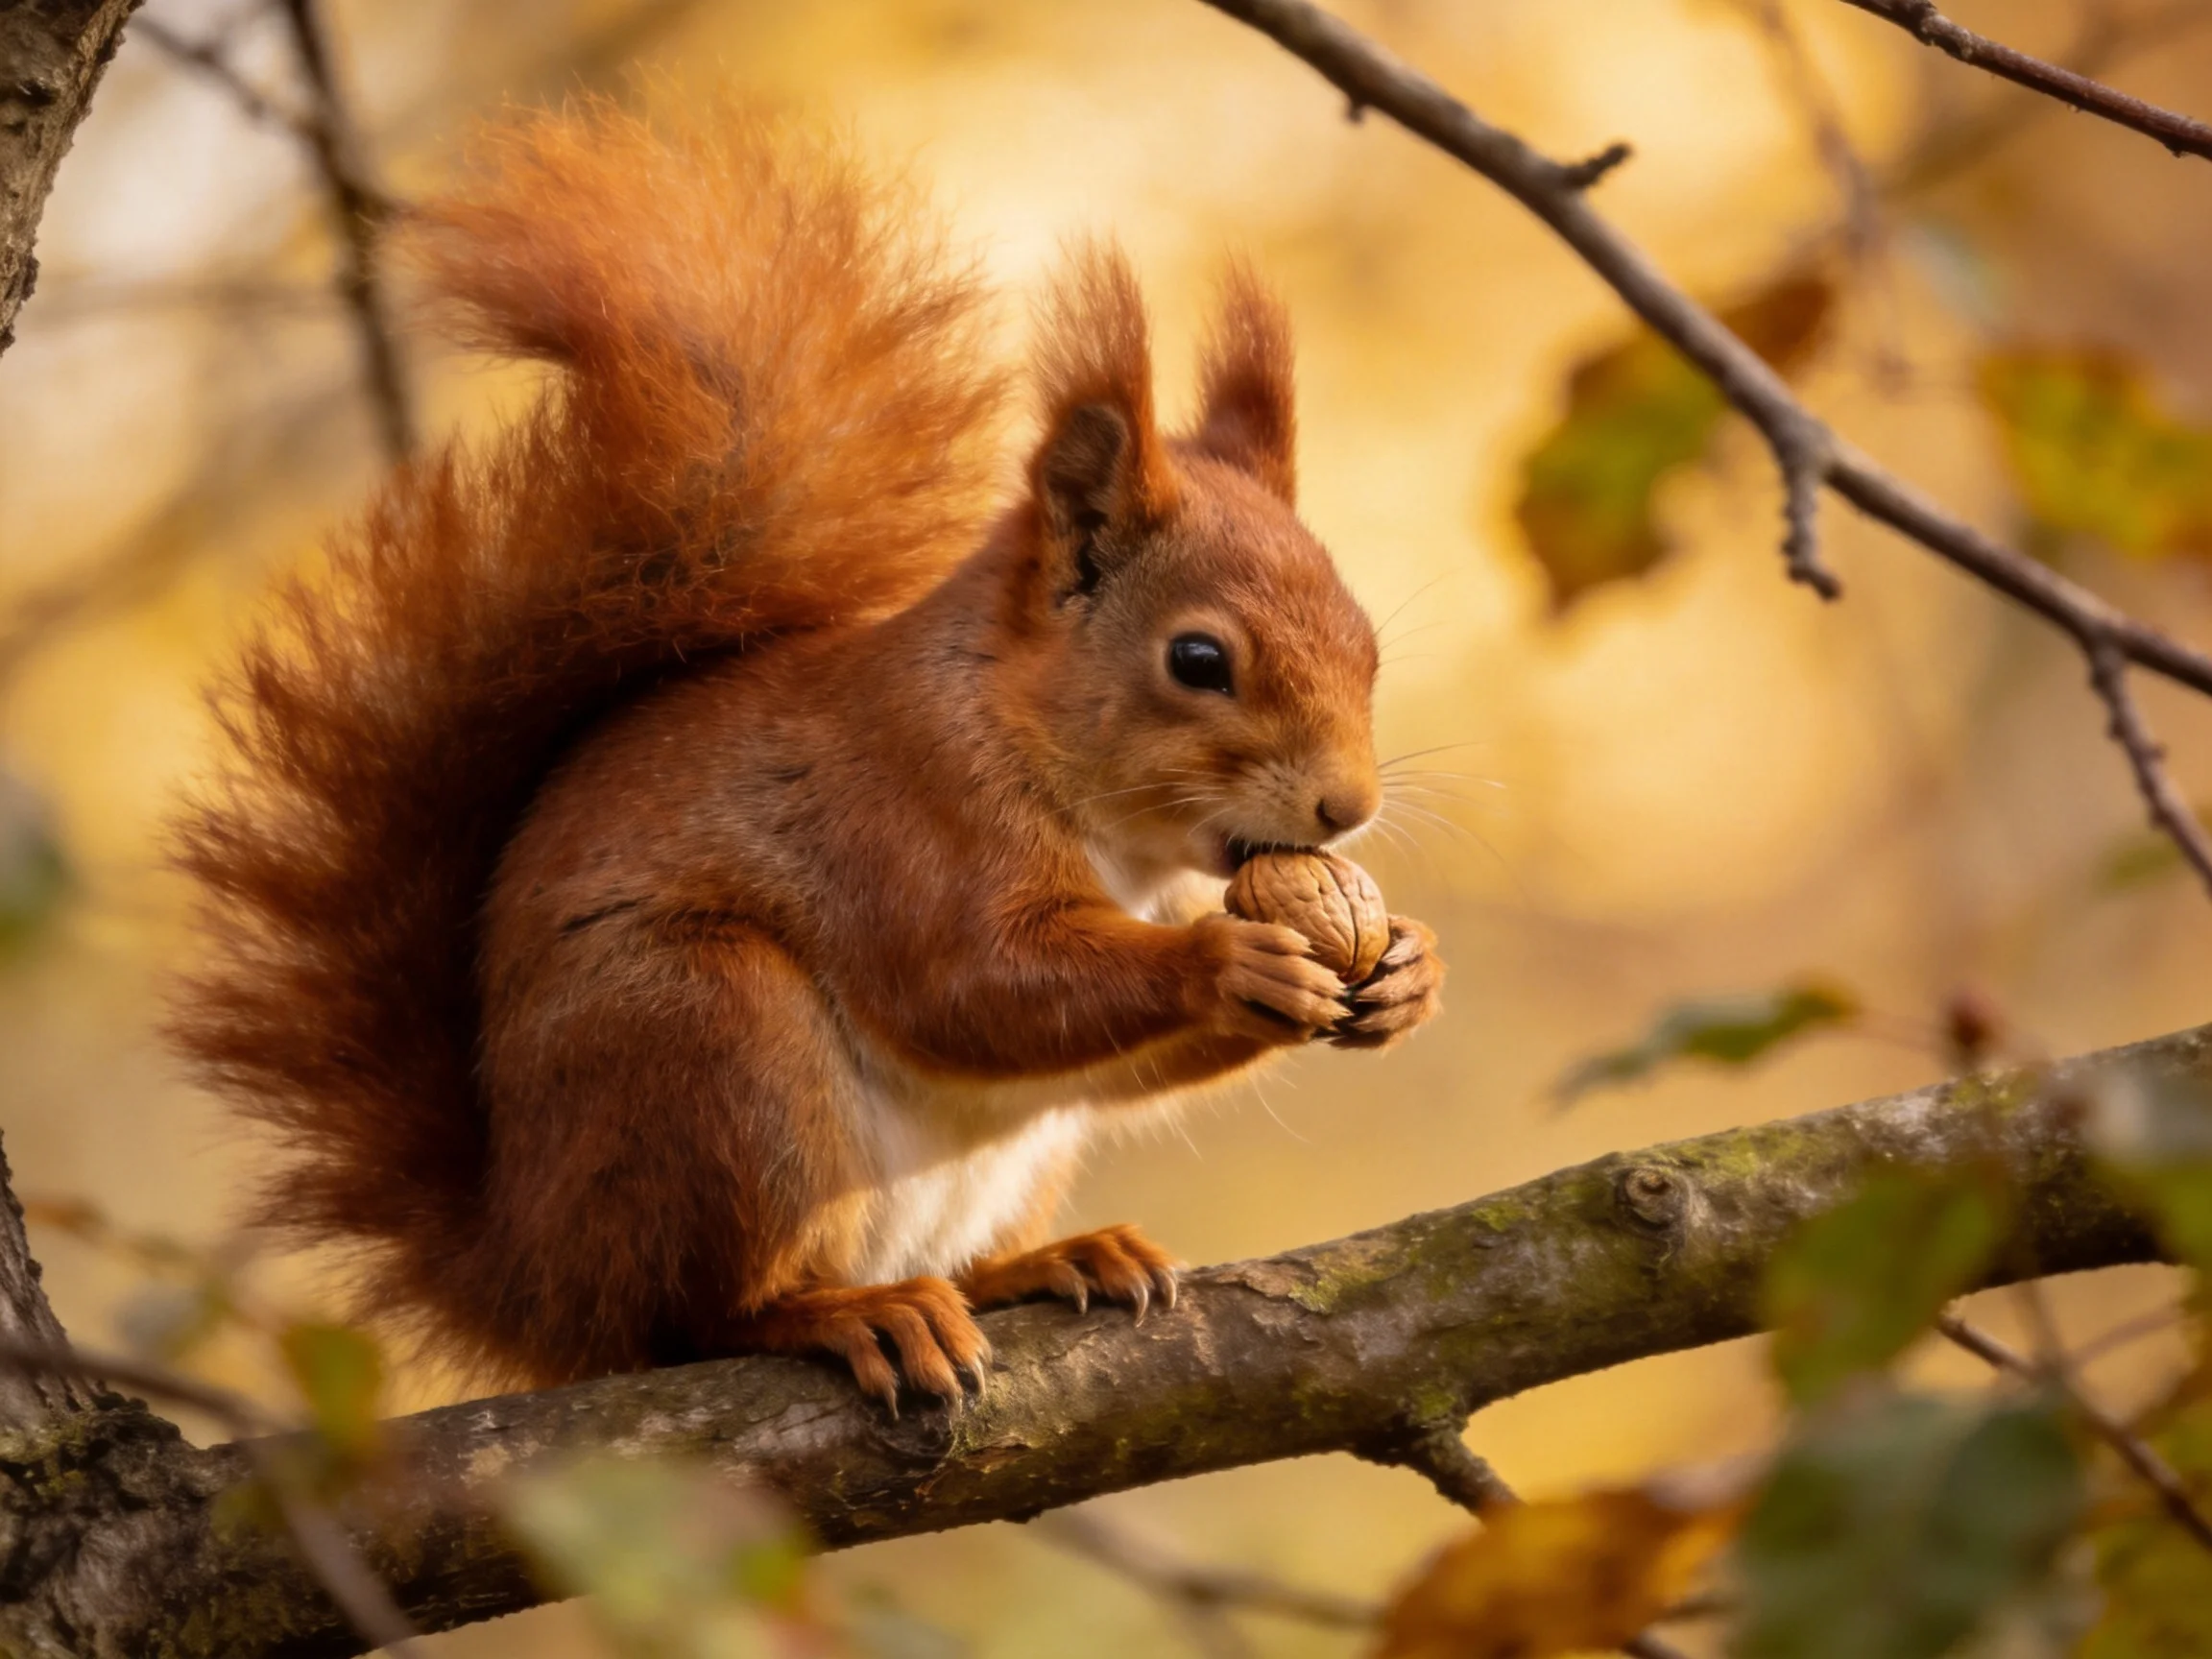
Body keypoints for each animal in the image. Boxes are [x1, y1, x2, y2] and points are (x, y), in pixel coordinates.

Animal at [169, 99, 1445, 1406]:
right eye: (1197, 660)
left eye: (1364, 640)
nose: (1345, 809)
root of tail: (538, 1284)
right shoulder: (900, 812)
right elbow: (970, 984)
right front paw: (1230, 959)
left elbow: (1105, 1063)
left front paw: (1406, 968)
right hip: (711, 1044)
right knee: (697, 1317)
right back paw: (845, 1312)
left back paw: (1040, 1261)